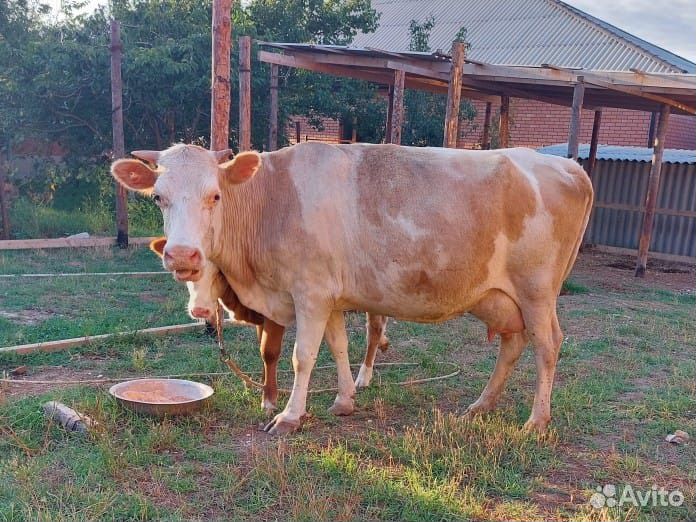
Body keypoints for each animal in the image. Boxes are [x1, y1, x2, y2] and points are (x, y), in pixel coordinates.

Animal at [149, 237, 389, 412]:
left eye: (218, 273)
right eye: (186, 274)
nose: (199, 310)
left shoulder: (274, 312)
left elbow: (269, 352)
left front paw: (270, 399)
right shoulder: (260, 315)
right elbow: (261, 350)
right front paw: (264, 385)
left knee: (373, 331)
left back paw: (364, 376)